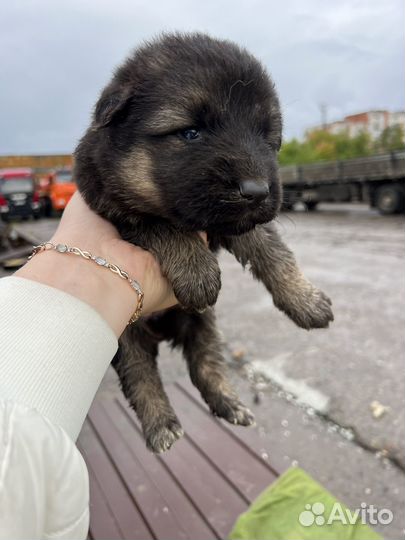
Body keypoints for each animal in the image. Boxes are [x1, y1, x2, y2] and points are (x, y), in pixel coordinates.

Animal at [75, 32, 332, 452]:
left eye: (267, 137)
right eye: (190, 133)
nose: (257, 191)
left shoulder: (238, 222)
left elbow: (273, 250)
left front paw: (305, 300)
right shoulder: (115, 209)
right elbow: (160, 224)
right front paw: (197, 270)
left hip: (203, 324)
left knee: (205, 364)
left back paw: (230, 404)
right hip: (124, 337)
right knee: (140, 374)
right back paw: (161, 425)